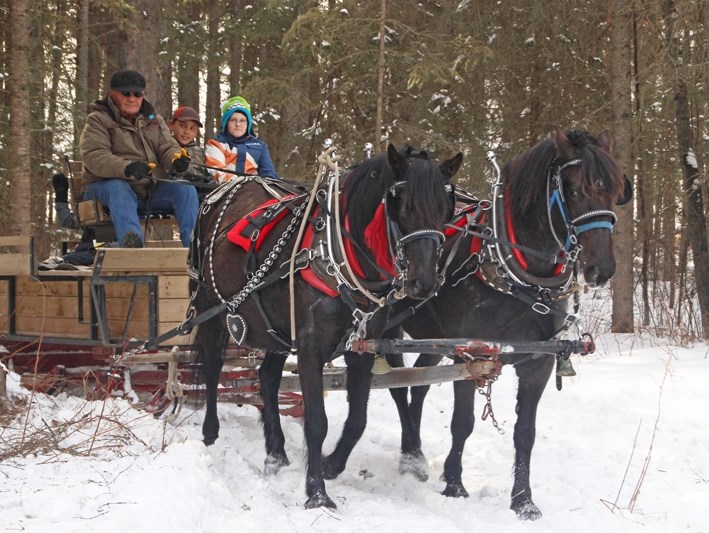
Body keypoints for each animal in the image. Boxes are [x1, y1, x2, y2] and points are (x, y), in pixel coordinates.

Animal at [189, 144, 464, 508]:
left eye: (446, 210)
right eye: (403, 206)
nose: (425, 282)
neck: (342, 259)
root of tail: (226, 188)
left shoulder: (362, 348)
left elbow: (358, 419)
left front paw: (332, 464)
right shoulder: (310, 348)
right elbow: (317, 422)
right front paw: (316, 492)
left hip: (277, 328)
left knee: (267, 378)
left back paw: (276, 452)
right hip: (211, 309)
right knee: (212, 367)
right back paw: (210, 432)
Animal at [320, 127, 632, 516]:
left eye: (614, 191)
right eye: (573, 190)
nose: (600, 269)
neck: (515, 273)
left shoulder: (539, 361)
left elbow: (525, 432)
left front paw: (523, 501)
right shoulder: (471, 353)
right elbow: (462, 423)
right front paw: (454, 484)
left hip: (434, 340)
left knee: (417, 385)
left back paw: (413, 454)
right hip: (389, 328)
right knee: (397, 384)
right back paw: (411, 454)